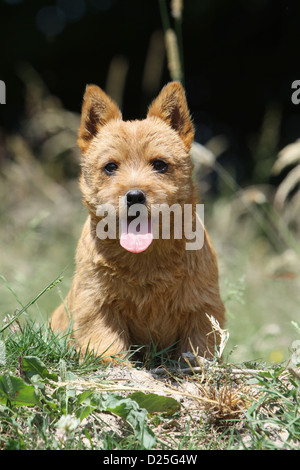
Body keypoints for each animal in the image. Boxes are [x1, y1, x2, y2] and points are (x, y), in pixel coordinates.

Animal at [51, 81, 225, 360]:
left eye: (160, 164)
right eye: (111, 167)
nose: (134, 195)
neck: (145, 261)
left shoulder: (203, 307)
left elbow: (199, 348)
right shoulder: (96, 304)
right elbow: (105, 341)